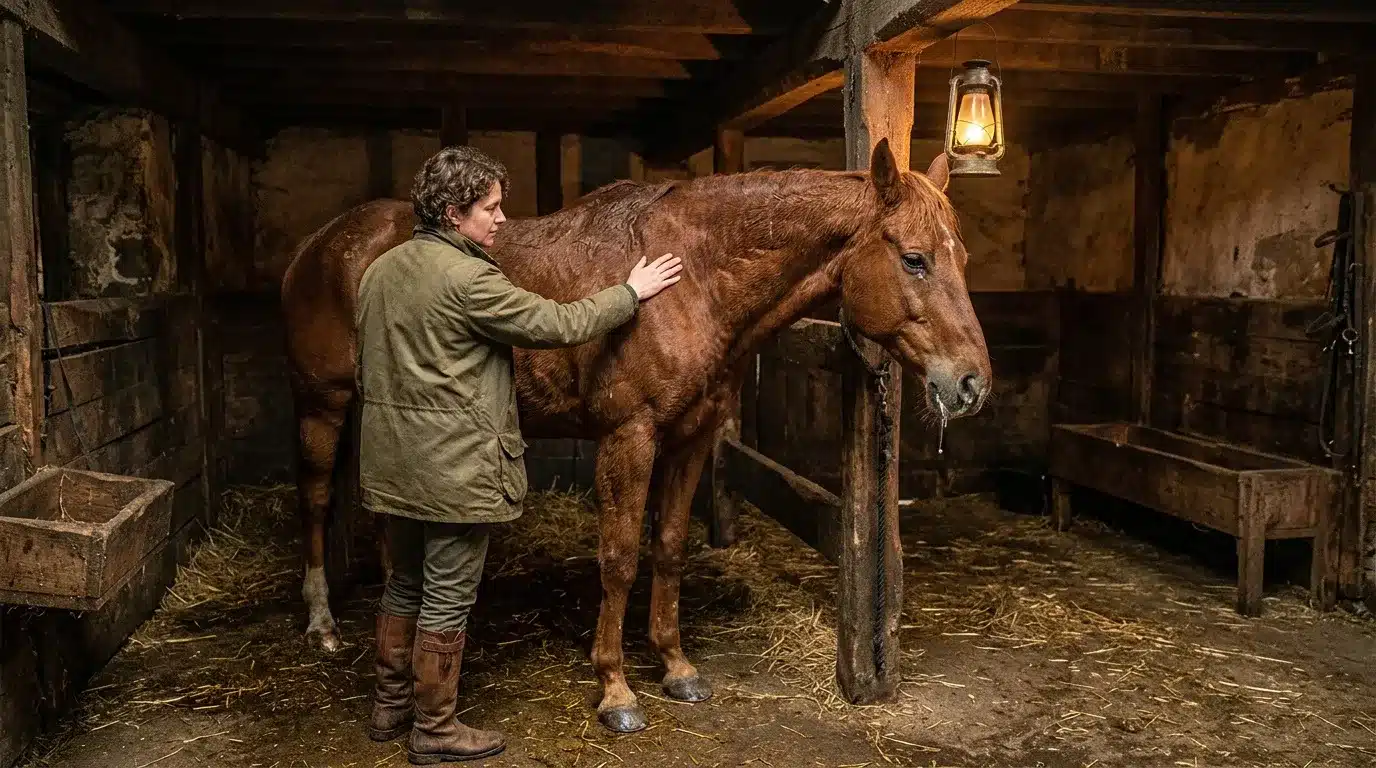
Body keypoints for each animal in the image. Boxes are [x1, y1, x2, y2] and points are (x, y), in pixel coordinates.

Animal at [279, 138, 992, 733]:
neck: (696, 275)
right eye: (914, 260)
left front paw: (675, 666)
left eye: (962, 256)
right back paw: (322, 624)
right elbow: (620, 559)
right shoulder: (630, 437)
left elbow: (669, 548)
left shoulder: (691, 439)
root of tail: (320, 242)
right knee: (315, 499)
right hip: (324, 404)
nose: (972, 383)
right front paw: (616, 689)